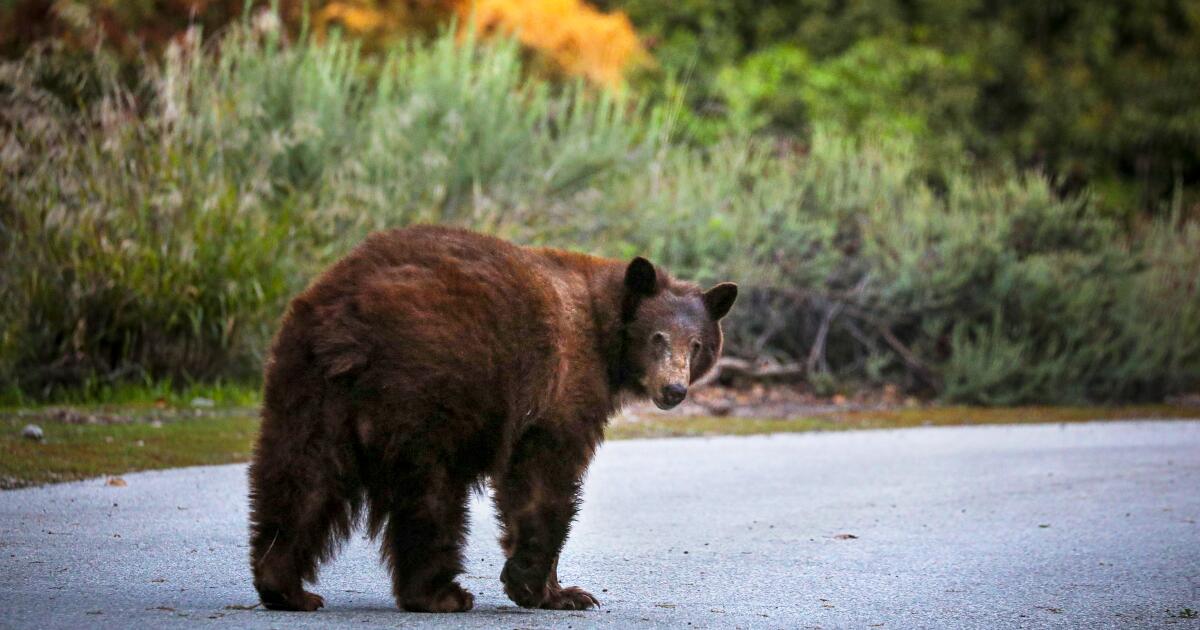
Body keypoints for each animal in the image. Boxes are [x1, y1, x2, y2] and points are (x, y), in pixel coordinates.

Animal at [246, 224, 729, 609]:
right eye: (657, 337)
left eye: (697, 345)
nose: (674, 390)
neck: (604, 332)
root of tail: (347, 324)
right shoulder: (562, 385)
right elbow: (545, 480)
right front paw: (543, 588)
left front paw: (557, 590)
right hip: (426, 384)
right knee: (430, 493)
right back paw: (439, 594)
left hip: (307, 384)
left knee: (301, 476)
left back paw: (284, 587)